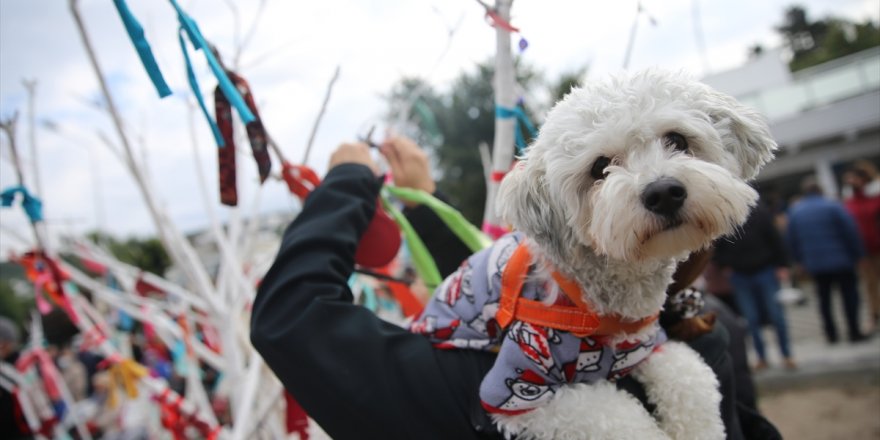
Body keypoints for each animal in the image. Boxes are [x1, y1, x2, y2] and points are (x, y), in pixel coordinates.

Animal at [410, 70, 772, 438]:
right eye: (599, 168)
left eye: (677, 139)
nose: (663, 193)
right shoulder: (518, 390)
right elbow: (619, 419)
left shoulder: (648, 346)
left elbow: (692, 376)